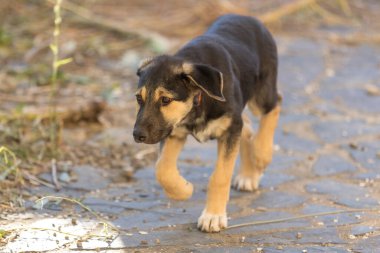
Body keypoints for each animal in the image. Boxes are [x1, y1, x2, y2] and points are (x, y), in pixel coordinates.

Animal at [132, 13, 280, 231]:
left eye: (165, 99)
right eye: (138, 99)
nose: (137, 135)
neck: (199, 96)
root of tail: (246, 17)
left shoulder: (229, 130)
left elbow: (220, 176)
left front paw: (213, 216)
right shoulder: (174, 131)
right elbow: (162, 169)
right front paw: (183, 189)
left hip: (261, 93)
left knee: (275, 105)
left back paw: (262, 154)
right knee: (248, 127)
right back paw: (248, 175)